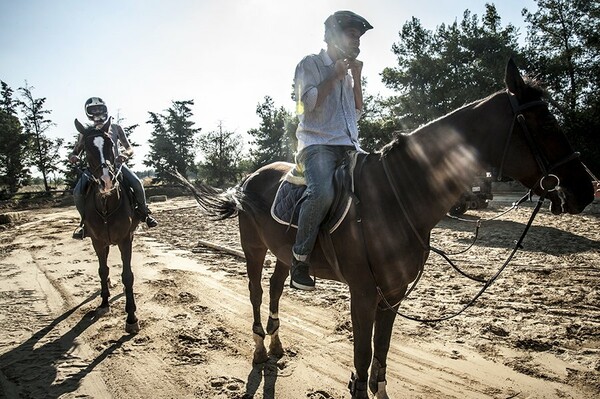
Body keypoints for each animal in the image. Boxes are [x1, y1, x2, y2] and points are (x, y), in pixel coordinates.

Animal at [74, 118, 140, 334]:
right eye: (86, 148)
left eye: (111, 144)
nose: (106, 181)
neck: (105, 204)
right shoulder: (97, 241)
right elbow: (102, 270)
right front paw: (104, 303)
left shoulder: (126, 239)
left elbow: (127, 276)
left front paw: (131, 317)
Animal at [176, 57, 592, 398]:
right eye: (543, 122)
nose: (587, 189)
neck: (395, 197)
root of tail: (250, 178)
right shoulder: (362, 291)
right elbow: (362, 356)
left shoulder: (393, 292)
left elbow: (382, 351)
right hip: (253, 249)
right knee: (256, 294)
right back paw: (261, 349)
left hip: (283, 253)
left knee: (277, 289)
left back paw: (277, 345)